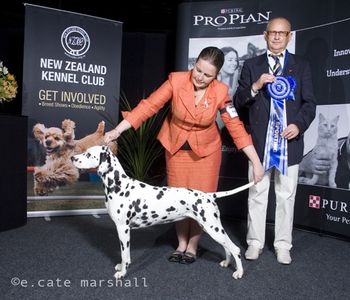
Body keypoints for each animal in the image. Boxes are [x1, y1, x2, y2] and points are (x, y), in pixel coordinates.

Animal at [71, 145, 253, 278]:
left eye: (88, 154)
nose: (72, 158)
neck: (119, 185)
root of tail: (208, 195)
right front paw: (121, 267)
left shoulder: (123, 229)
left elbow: (125, 254)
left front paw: (123, 272)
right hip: (213, 228)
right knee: (227, 246)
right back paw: (226, 263)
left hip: (213, 228)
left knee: (235, 249)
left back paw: (239, 272)